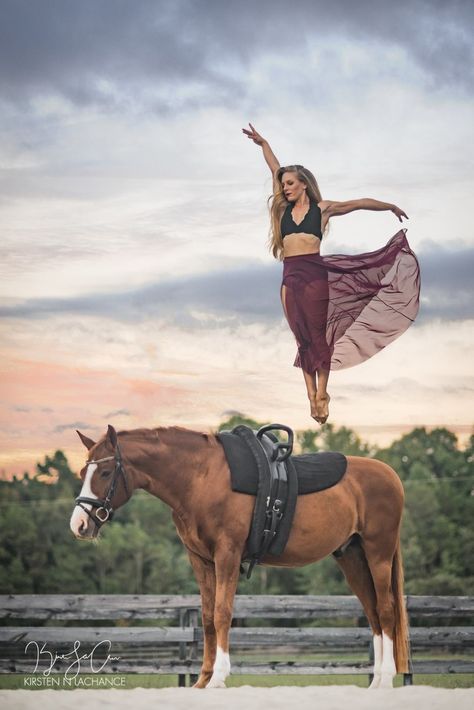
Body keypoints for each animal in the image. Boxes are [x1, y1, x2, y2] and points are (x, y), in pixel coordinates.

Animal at [69, 426, 408, 688]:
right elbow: (207, 617)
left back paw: (386, 679)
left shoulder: (227, 554)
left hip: (378, 553)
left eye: (105, 472)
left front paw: (218, 677)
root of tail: (392, 476)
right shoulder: (201, 559)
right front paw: (202, 679)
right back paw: (376, 682)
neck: (200, 478)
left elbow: (222, 613)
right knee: (373, 613)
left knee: (387, 610)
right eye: (83, 471)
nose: (79, 524)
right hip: (352, 557)